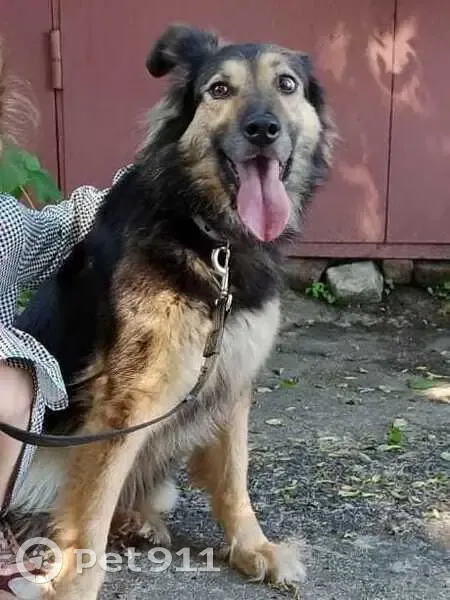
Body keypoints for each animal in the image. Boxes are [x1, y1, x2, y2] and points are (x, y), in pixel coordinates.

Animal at [10, 23, 335, 599]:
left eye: (287, 84)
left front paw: (252, 549)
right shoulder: (127, 402)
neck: (212, 241)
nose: (263, 129)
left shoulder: (232, 378)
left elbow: (233, 480)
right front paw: (74, 586)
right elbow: (88, 515)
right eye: (219, 90)